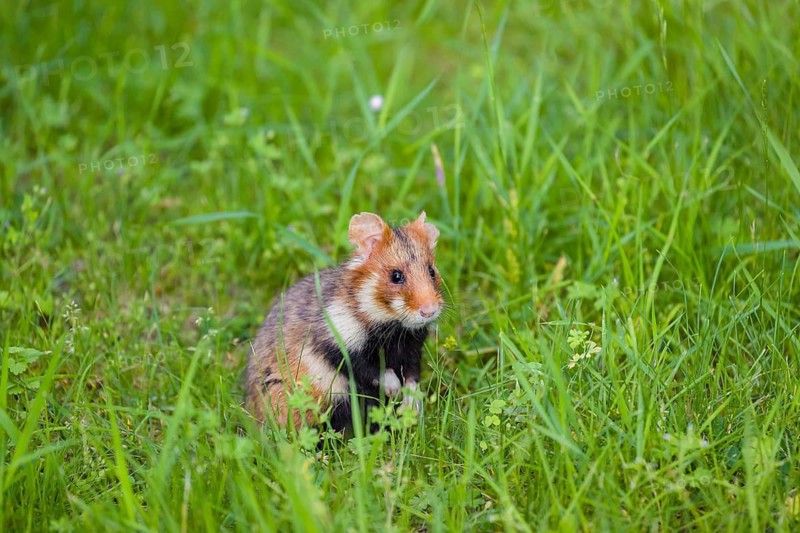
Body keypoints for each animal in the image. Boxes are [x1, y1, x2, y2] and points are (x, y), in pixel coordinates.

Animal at [245, 211, 443, 431]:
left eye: (431, 271)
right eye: (396, 276)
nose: (430, 311)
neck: (391, 325)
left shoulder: (411, 349)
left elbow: (411, 377)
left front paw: (410, 405)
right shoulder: (339, 346)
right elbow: (373, 370)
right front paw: (394, 390)